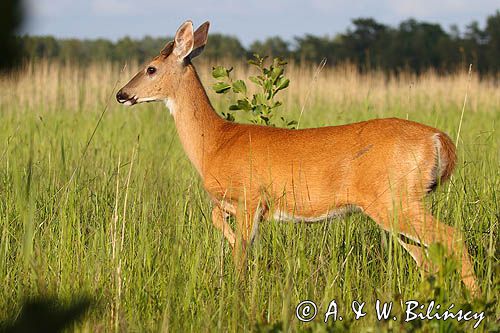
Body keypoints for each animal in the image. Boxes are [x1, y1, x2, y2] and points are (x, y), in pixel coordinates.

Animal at [117, 20, 480, 294]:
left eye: (150, 68)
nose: (121, 94)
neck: (215, 143)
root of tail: (438, 139)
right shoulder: (235, 202)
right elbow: (219, 221)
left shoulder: (250, 196)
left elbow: (241, 252)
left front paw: (239, 290)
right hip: (397, 203)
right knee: (427, 257)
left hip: (395, 198)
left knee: (452, 238)